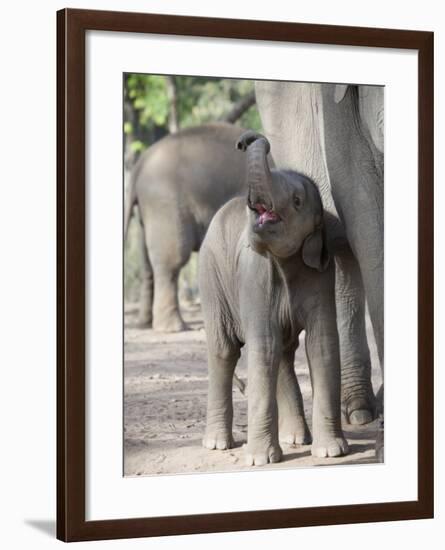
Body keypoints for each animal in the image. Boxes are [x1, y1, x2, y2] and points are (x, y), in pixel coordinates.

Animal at [124, 124, 250, 332]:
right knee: (172, 261)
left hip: (147, 212)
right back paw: (173, 328)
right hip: (165, 205)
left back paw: (145, 324)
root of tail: (139, 165)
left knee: (147, 263)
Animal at [199, 130, 348, 466]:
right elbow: (263, 344)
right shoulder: (254, 276)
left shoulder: (322, 275)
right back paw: (217, 444)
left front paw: (332, 452)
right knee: (225, 350)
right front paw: (259, 461)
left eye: (297, 201)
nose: (245, 140)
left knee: (282, 352)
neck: (286, 262)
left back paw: (296, 439)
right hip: (212, 278)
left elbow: (321, 343)